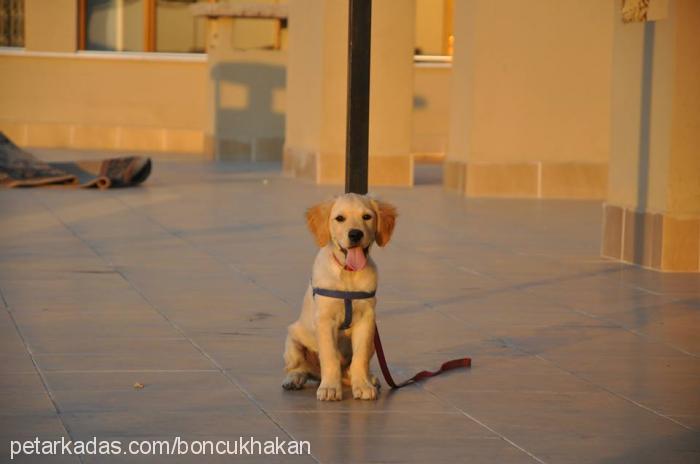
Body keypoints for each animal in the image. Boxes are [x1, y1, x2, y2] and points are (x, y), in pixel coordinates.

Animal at [282, 194, 396, 400]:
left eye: (367, 217)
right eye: (340, 218)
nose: (355, 234)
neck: (348, 274)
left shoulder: (366, 320)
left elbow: (359, 357)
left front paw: (363, 385)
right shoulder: (325, 320)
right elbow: (330, 356)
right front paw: (329, 388)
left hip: (373, 343)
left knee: (351, 368)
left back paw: (366, 378)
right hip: (292, 342)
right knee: (300, 367)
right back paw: (294, 379)